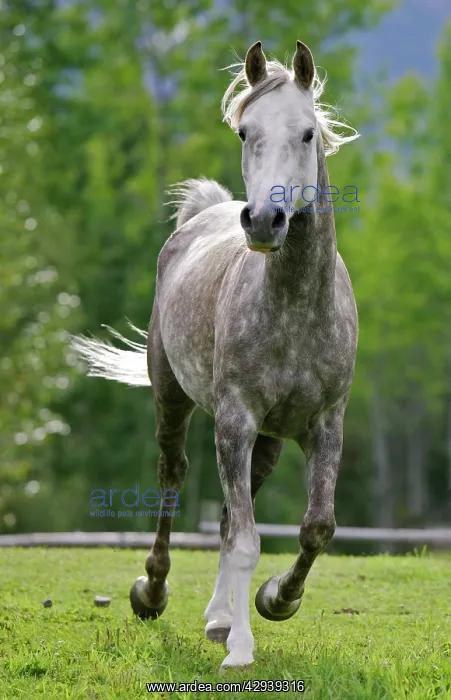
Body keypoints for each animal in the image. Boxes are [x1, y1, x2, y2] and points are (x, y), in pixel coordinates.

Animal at [73, 40, 359, 669]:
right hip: (174, 400)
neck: (296, 308)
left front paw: (276, 600)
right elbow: (247, 538)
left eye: (307, 133)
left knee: (232, 513)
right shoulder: (234, 420)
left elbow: (316, 527)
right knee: (173, 477)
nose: (265, 220)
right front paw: (242, 651)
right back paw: (154, 592)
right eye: (245, 130)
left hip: (269, 440)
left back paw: (220, 617)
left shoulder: (325, 426)